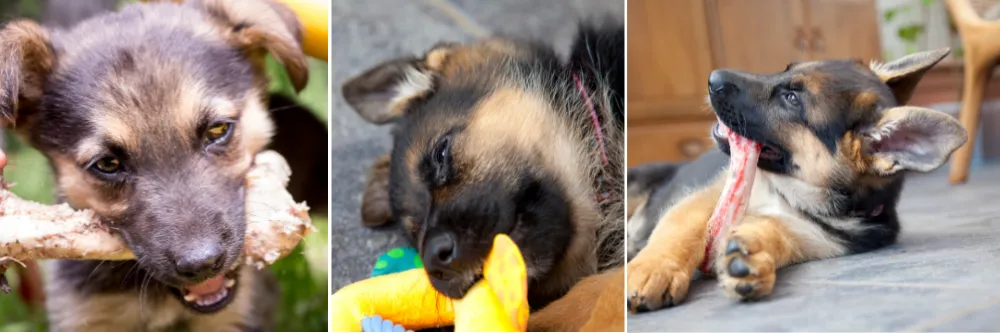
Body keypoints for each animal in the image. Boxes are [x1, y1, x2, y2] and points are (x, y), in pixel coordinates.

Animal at [628, 49, 964, 312]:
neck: (793, 190)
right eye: (785, 70)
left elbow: (777, 231)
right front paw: (655, 269)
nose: (712, 78)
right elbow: (680, 231)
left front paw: (752, 254)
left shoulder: (810, 235)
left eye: (791, 99)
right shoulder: (706, 199)